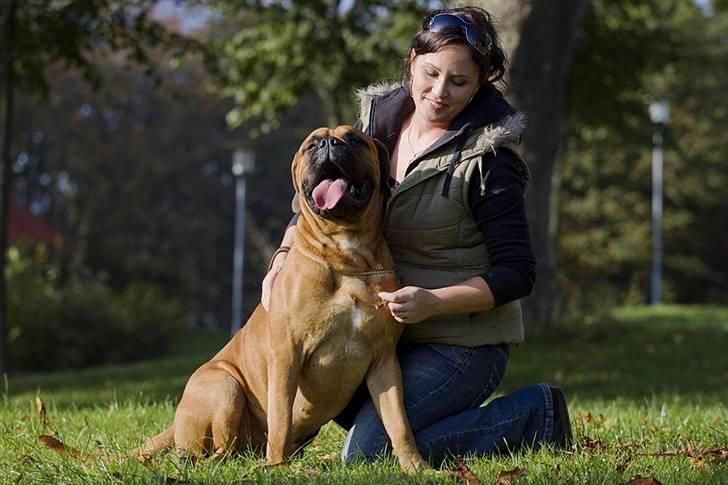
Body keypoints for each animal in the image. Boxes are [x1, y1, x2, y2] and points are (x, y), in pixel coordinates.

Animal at [44, 125, 426, 472]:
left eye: (355, 139)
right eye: (310, 145)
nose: (330, 144)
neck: (347, 255)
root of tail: (175, 423)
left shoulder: (384, 362)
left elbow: (399, 423)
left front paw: (417, 467)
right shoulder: (286, 354)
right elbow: (281, 418)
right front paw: (278, 467)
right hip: (225, 386)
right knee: (212, 455)